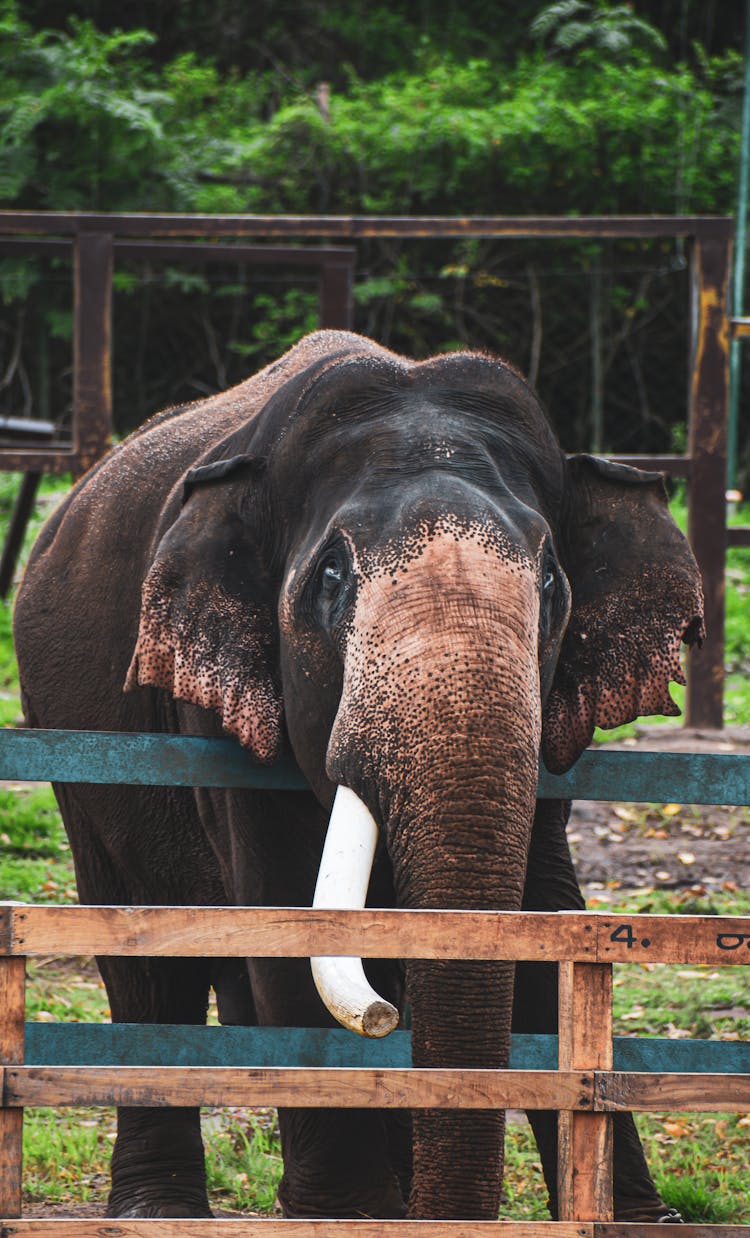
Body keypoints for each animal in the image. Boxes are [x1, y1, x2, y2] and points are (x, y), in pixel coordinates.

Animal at [13, 329, 702, 1218]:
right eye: (330, 581)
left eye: (553, 583)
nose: (375, 1017)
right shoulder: (224, 722)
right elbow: (289, 919)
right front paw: (345, 1213)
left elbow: (546, 914)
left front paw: (642, 1220)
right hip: (70, 740)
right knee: (145, 957)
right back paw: (159, 1210)